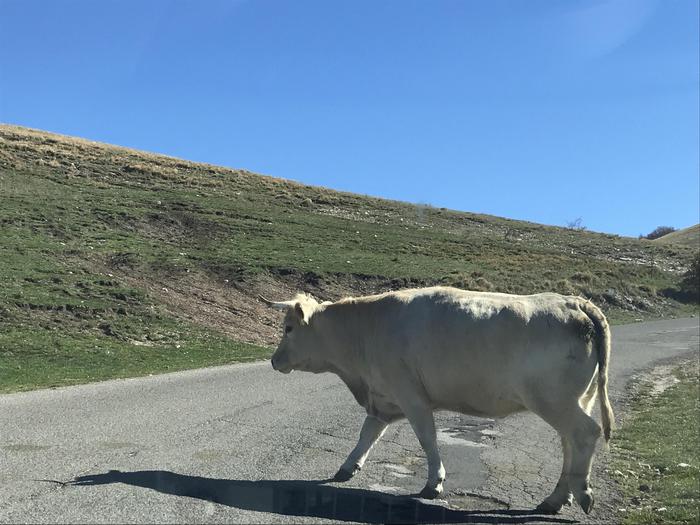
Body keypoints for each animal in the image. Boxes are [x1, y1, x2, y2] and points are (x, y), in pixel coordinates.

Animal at [264, 286, 614, 515]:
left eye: (289, 328)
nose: (274, 361)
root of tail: (576, 303)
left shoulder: (411, 397)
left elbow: (427, 439)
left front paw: (434, 483)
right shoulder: (384, 398)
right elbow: (367, 434)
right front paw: (347, 467)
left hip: (553, 399)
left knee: (585, 433)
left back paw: (580, 493)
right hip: (577, 399)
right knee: (570, 443)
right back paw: (557, 498)